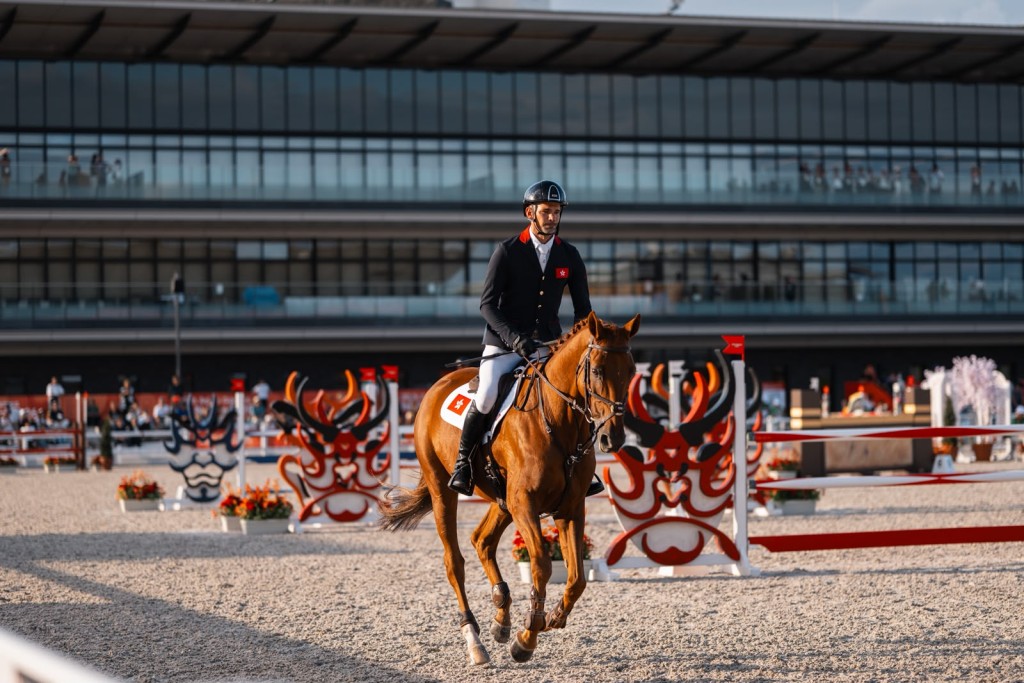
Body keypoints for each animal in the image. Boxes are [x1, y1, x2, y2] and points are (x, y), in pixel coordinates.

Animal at [379, 311, 640, 666]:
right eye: (597, 370)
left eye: (632, 371)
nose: (613, 438)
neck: (558, 423)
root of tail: (437, 387)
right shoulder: (524, 504)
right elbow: (541, 564)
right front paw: (527, 637)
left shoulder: (570, 507)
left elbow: (577, 578)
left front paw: (551, 618)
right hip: (443, 490)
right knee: (454, 561)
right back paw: (475, 641)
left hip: (502, 500)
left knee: (482, 541)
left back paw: (501, 618)